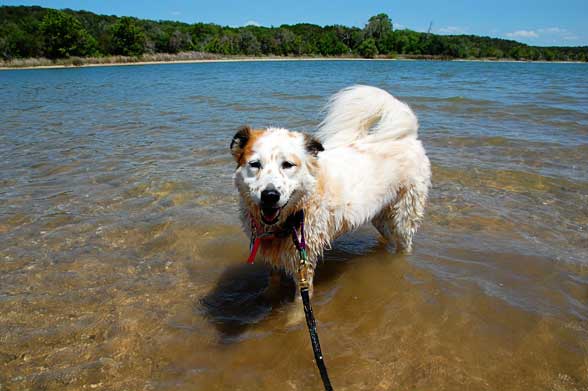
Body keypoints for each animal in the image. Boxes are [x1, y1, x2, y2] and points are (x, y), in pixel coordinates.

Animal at [231, 86, 432, 298]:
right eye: (255, 164)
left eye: (288, 165)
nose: (270, 196)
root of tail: (409, 137)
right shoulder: (274, 256)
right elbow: (272, 283)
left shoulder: (304, 261)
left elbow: (300, 300)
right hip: (379, 214)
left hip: (405, 214)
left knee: (404, 243)